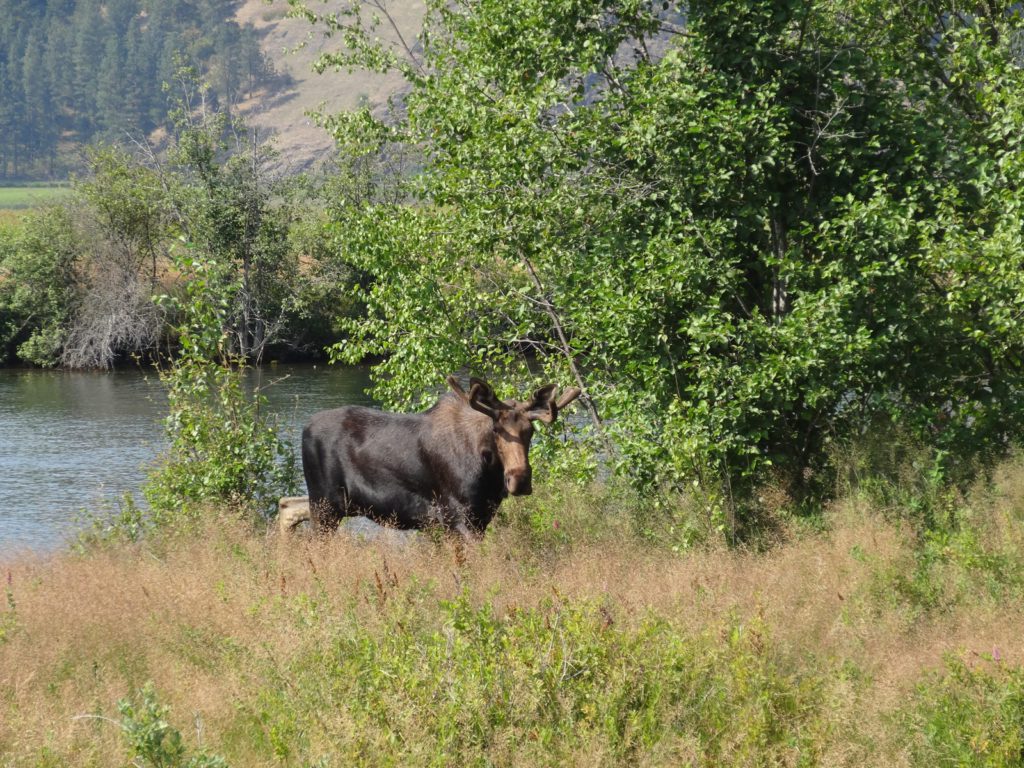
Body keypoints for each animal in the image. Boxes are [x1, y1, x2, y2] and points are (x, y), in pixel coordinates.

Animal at [300, 376, 581, 538]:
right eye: (496, 430)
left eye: (530, 431)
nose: (519, 480)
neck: (489, 476)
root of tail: (305, 428)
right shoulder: (457, 518)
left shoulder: (480, 517)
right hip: (323, 505)